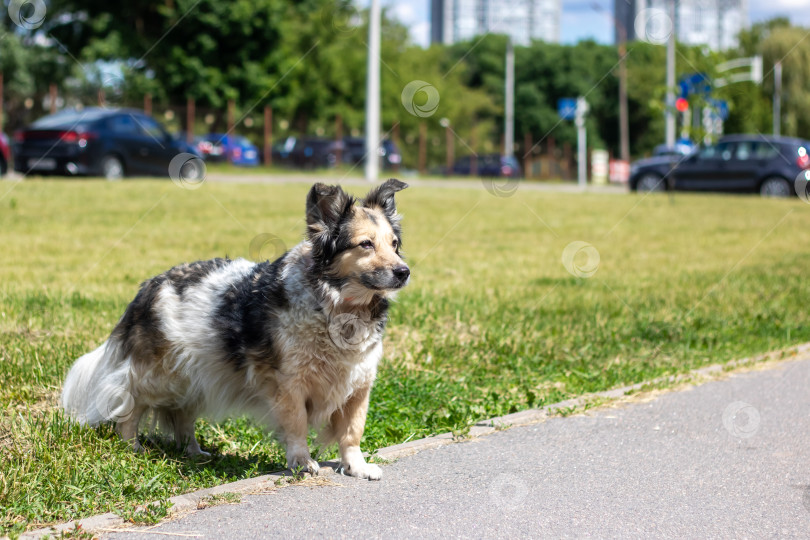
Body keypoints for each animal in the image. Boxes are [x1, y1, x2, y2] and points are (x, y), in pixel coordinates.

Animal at [61, 179, 410, 478]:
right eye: (365, 244)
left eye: (394, 244)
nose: (404, 271)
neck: (338, 305)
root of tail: (148, 287)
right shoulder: (289, 384)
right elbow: (297, 425)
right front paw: (302, 463)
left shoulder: (359, 384)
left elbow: (352, 431)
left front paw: (356, 467)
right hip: (159, 376)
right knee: (129, 401)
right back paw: (131, 445)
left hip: (194, 376)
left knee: (181, 415)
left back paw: (194, 452)